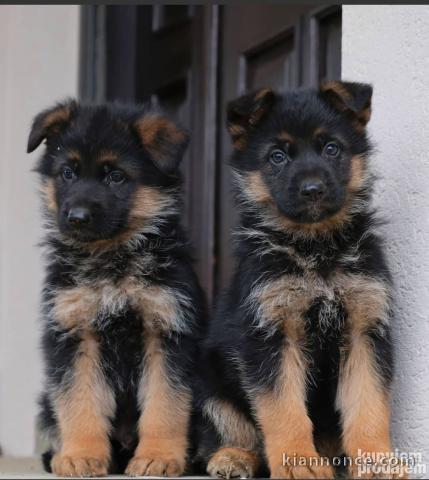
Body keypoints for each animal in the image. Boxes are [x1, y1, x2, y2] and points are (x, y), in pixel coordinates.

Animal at [28, 100, 206, 476]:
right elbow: (79, 402)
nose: (77, 217)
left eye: (116, 176)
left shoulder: (168, 332)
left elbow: (165, 405)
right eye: (68, 173)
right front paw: (81, 455)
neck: (111, 259)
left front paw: (158, 456)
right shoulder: (75, 334)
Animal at [192, 84, 402, 478]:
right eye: (277, 157)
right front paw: (298, 462)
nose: (312, 189)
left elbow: (368, 406)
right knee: (231, 432)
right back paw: (233, 457)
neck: (316, 249)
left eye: (331, 148)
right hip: (210, 381)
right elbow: (283, 409)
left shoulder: (365, 330)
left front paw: (376, 461)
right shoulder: (271, 335)